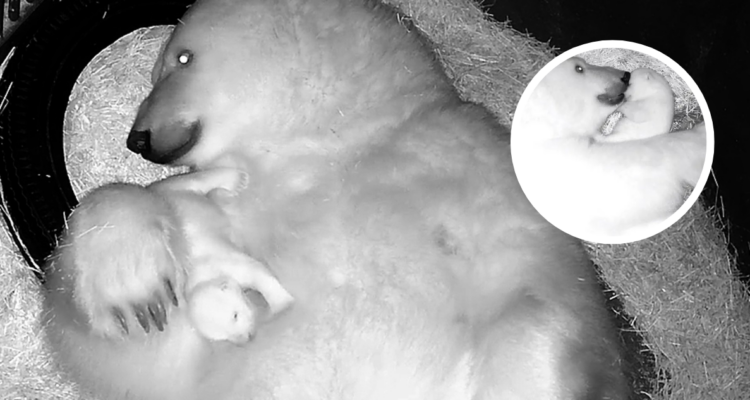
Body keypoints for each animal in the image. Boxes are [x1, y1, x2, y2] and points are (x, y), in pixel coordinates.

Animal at [42, 0, 632, 399]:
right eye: (159, 65)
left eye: (180, 59)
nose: (137, 138)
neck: (331, 142)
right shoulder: (240, 211)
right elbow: (146, 353)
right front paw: (136, 290)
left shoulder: (486, 179)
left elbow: (544, 319)